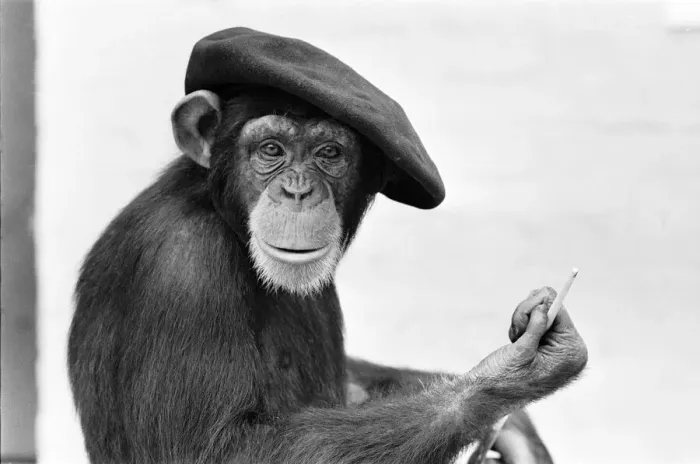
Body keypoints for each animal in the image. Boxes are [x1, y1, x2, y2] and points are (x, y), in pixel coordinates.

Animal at [67, 28, 587, 464]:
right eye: (271, 150)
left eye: (329, 154)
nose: (297, 191)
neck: (220, 213)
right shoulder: (183, 270)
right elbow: (219, 450)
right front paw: (508, 375)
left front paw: (518, 430)